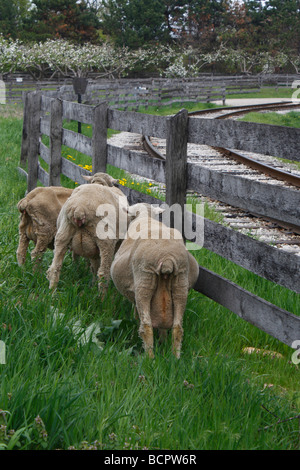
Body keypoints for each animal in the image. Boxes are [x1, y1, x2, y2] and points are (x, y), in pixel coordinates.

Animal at [110, 203, 199, 360]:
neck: (146, 216)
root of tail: (167, 258)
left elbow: (136, 312)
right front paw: (163, 341)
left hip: (144, 283)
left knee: (147, 326)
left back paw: (149, 359)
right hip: (180, 284)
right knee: (177, 327)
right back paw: (175, 358)